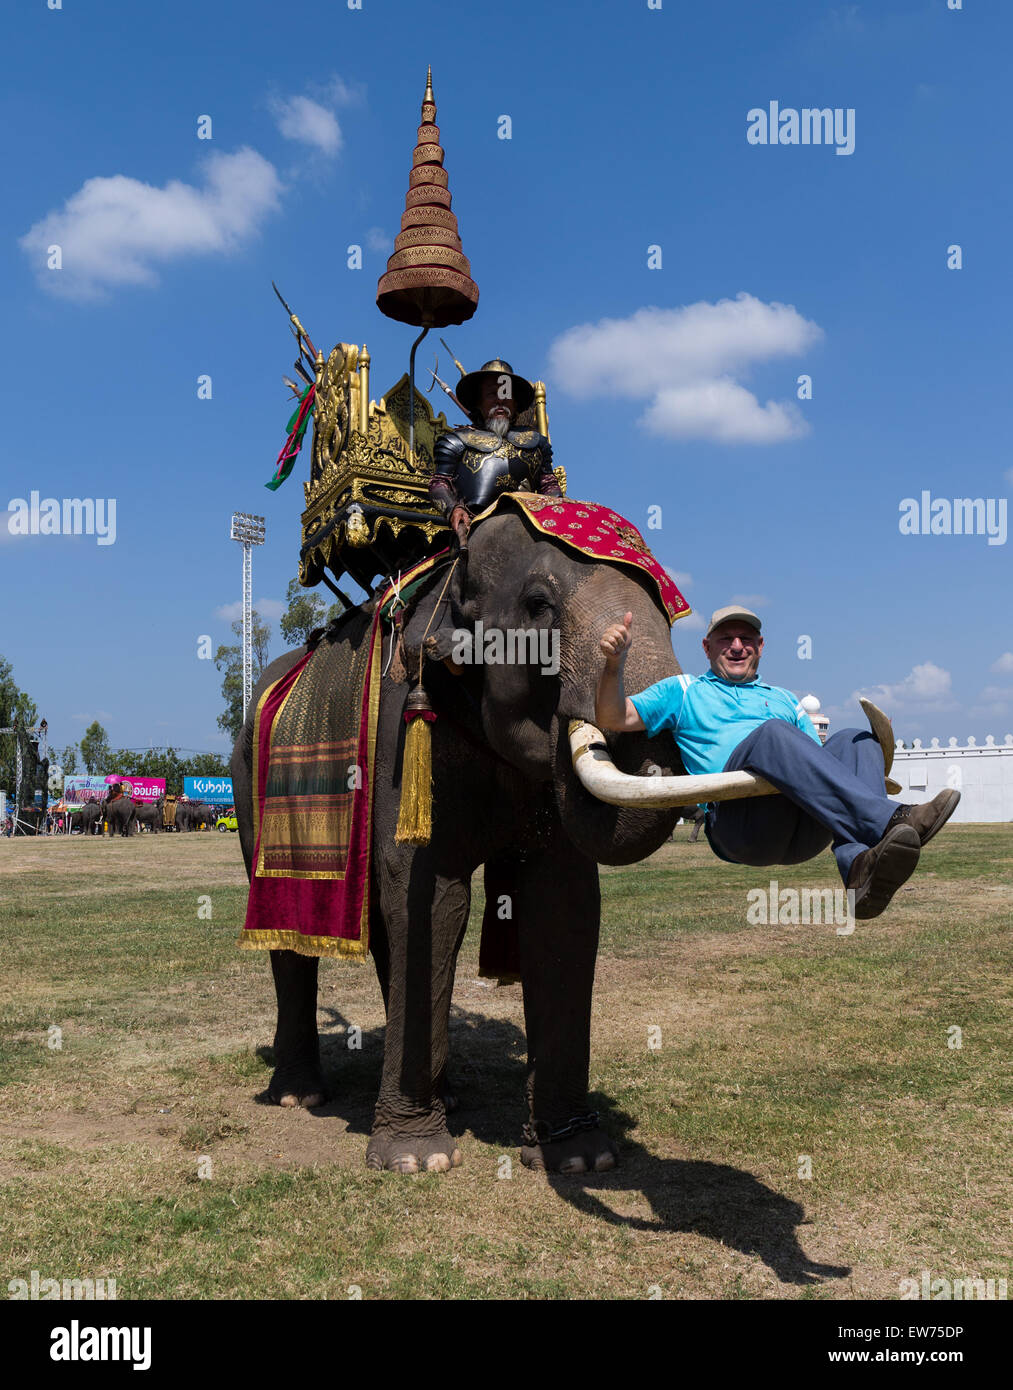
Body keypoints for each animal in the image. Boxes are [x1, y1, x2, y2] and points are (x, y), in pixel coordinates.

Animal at [230, 500, 686, 1173]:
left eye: (670, 610)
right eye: (539, 605)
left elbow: (561, 903)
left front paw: (579, 1157)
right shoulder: (406, 724)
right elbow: (433, 893)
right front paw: (416, 1161)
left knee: (386, 925)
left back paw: (445, 1093)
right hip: (250, 790)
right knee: (295, 932)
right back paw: (298, 1096)